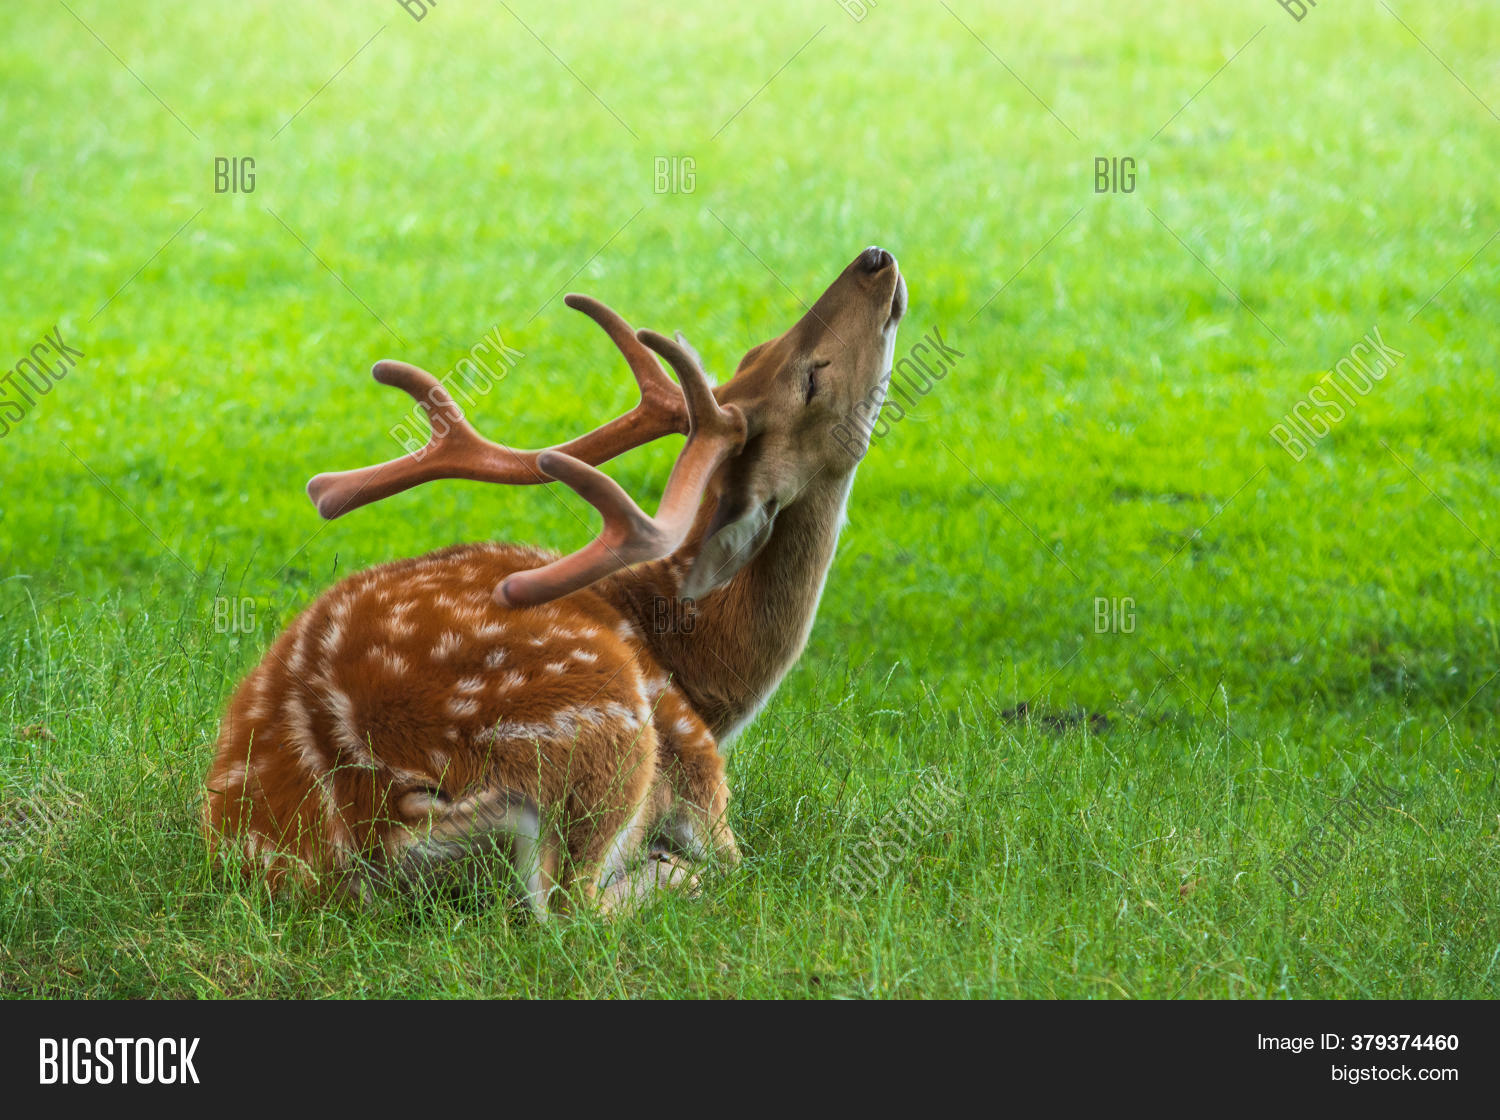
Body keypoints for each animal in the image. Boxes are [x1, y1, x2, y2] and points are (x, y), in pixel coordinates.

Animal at [203, 246, 907, 916]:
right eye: (812, 378)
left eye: (756, 348)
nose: (875, 259)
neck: (705, 675)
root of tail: (362, 809)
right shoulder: (701, 763)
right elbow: (735, 860)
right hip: (608, 724)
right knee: (571, 906)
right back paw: (666, 873)